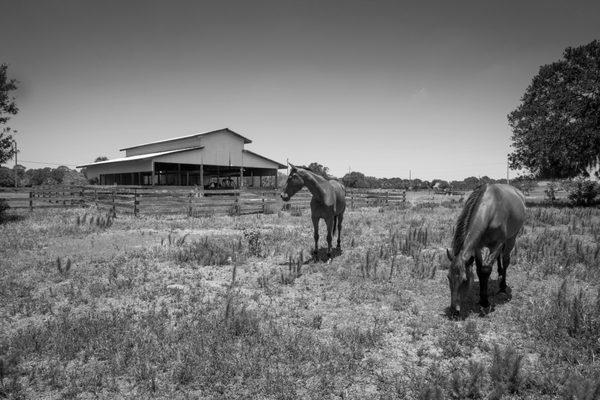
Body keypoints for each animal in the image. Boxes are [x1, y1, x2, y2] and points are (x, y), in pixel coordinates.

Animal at [446, 184, 524, 316]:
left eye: (465, 280)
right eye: (448, 278)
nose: (454, 310)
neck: (491, 208)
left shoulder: (497, 244)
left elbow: (486, 270)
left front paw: (485, 302)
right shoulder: (478, 246)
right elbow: (479, 270)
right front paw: (481, 298)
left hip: (511, 238)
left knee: (505, 260)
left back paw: (502, 287)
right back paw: (499, 273)